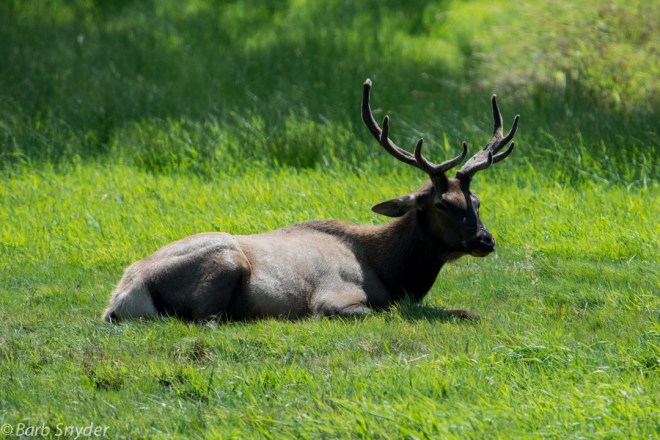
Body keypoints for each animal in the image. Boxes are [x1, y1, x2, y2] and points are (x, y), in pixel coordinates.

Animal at [103, 79, 519, 323]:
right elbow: (378, 313)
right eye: (442, 204)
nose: (485, 240)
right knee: (206, 318)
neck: (393, 272)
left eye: (477, 201)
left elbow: (466, 311)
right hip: (225, 260)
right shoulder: (334, 297)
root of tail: (120, 299)